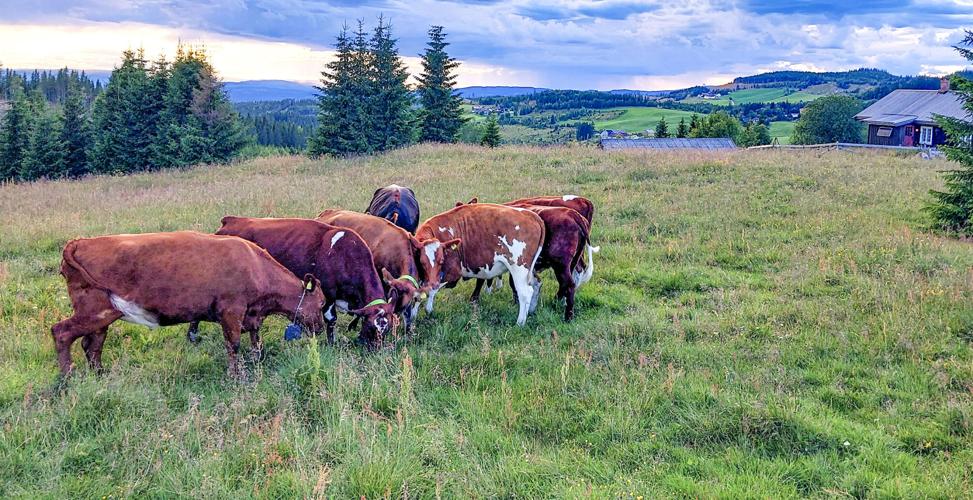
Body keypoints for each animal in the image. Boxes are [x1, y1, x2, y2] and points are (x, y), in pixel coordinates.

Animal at [51, 231, 326, 378]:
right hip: (94, 311)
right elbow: (234, 345)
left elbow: (256, 342)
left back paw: (99, 374)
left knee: (92, 345)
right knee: (62, 333)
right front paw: (236, 375)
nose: (321, 328)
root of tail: (80, 242)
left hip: (102, 315)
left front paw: (256, 362)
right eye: (322, 303)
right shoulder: (231, 311)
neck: (256, 266)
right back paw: (67, 378)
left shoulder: (251, 315)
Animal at [191, 216, 396, 347]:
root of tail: (231, 220)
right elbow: (331, 321)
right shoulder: (328, 295)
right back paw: (192, 336)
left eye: (387, 330)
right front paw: (331, 344)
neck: (345, 255)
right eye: (371, 327)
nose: (375, 349)